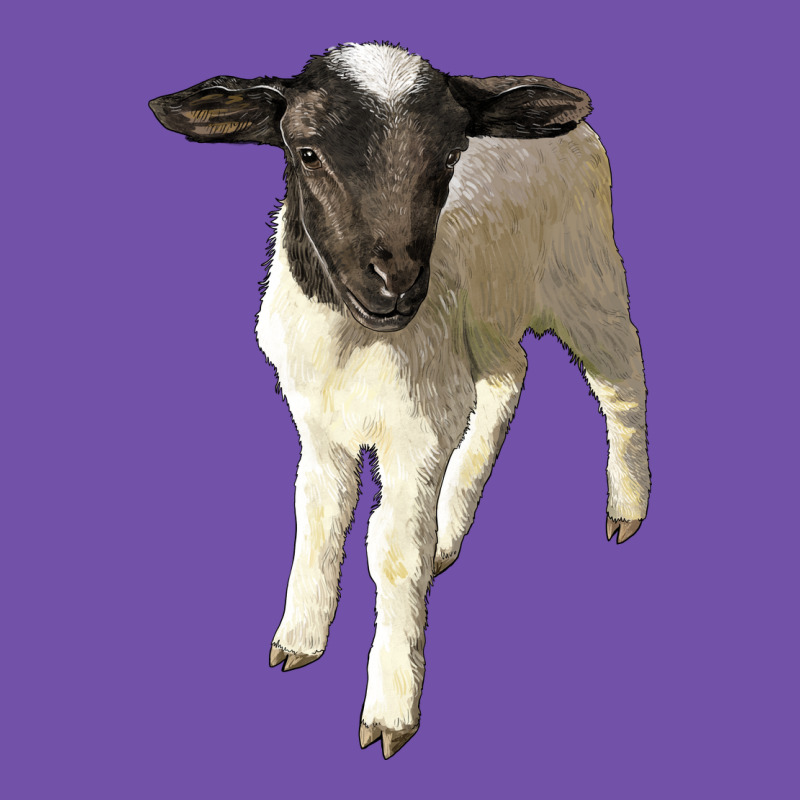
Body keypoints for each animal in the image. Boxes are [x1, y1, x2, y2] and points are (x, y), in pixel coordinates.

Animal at [149, 42, 650, 759]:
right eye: (307, 152)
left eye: (449, 155)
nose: (396, 284)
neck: (353, 344)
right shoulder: (319, 424)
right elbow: (319, 515)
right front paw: (298, 639)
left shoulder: (416, 434)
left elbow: (391, 552)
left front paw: (390, 710)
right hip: (485, 319)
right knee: (509, 376)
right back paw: (452, 526)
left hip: (585, 273)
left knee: (621, 378)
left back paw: (626, 507)